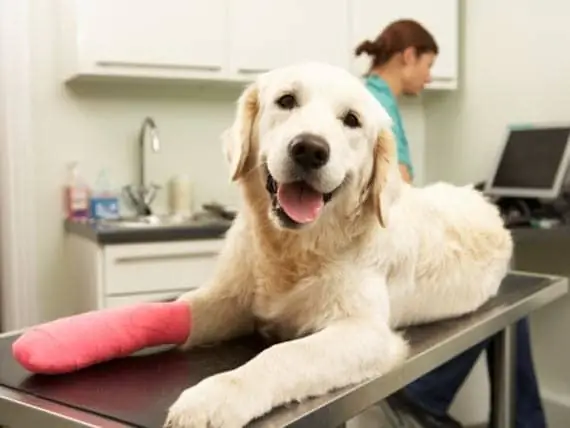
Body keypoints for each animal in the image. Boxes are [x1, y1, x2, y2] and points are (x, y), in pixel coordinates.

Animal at [162, 61, 512, 428]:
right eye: (286, 100)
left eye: (352, 120)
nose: (309, 149)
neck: (294, 249)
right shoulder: (228, 298)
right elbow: (182, 310)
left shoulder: (365, 331)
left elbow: (284, 354)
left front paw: (211, 397)